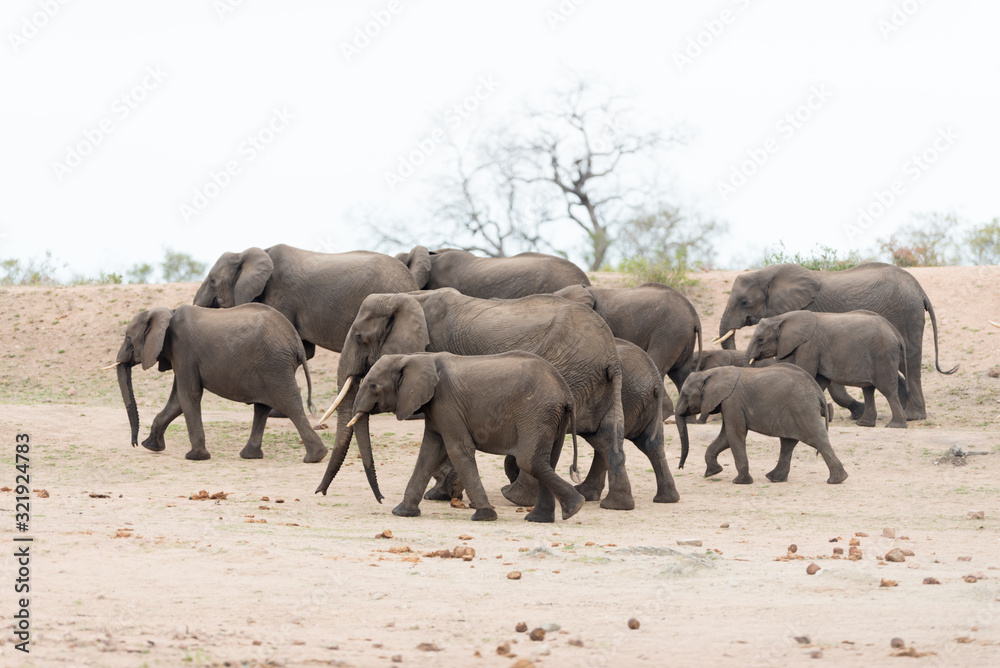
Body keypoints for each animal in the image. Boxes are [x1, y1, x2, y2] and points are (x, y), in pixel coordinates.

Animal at [112, 304, 327, 463]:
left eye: (128, 338)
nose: (134, 443)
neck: (167, 312)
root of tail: (296, 342)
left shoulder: (183, 351)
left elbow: (188, 395)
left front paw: (195, 457)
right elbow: (177, 400)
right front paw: (151, 446)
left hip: (274, 366)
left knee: (289, 404)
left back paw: (315, 457)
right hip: (270, 367)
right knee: (262, 407)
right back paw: (250, 456)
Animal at [348, 351, 586, 523]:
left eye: (372, 386)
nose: (381, 499)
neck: (414, 357)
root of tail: (566, 393)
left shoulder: (446, 403)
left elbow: (458, 450)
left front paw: (484, 516)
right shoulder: (436, 408)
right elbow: (428, 454)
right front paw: (401, 512)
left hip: (537, 413)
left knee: (529, 461)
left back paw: (576, 507)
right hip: (552, 417)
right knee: (547, 461)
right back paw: (540, 518)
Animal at [554, 282, 702, 415]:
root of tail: (695, 317)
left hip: (669, 333)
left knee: (659, 367)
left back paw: (665, 415)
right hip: (682, 337)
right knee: (681, 374)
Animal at [675, 365, 848, 485]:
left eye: (685, 394)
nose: (680, 467)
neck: (710, 372)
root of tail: (818, 392)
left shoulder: (732, 402)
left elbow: (734, 434)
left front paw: (740, 482)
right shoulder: (728, 404)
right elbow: (725, 437)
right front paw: (713, 472)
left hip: (803, 409)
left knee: (817, 439)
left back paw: (837, 480)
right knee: (788, 443)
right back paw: (775, 478)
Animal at [745, 310, 909, 428]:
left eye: (760, 339)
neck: (781, 318)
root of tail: (897, 334)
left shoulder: (809, 346)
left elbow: (807, 372)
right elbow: (819, 381)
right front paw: (825, 413)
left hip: (883, 355)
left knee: (887, 390)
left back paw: (895, 426)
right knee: (868, 390)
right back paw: (864, 424)